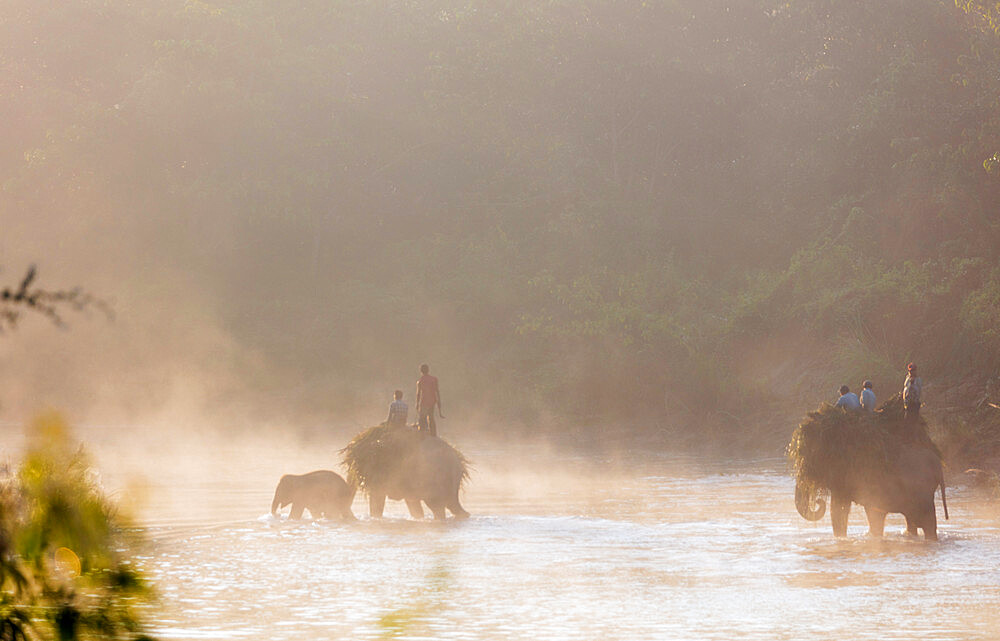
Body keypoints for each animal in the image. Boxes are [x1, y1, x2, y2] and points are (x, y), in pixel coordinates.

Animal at [788, 402, 944, 536]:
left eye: (808, 460)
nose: (818, 501)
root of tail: (938, 463)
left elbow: (839, 509)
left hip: (922, 491)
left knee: (927, 523)